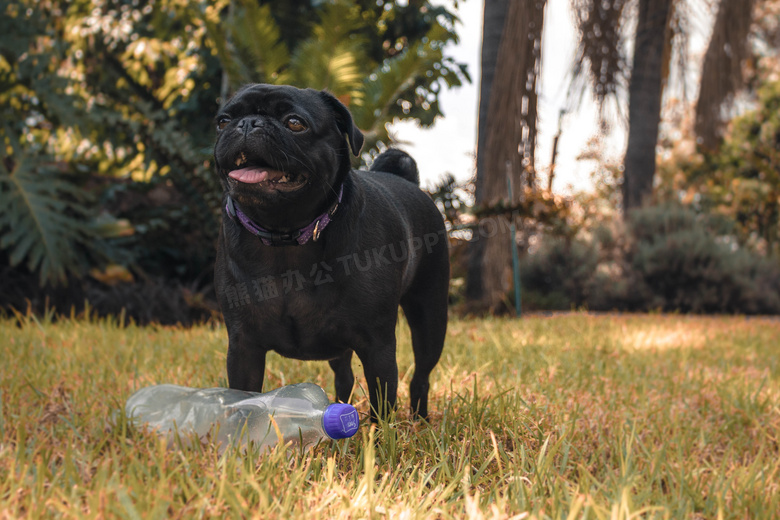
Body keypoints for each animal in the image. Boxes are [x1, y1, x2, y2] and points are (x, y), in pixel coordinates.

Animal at [213, 83, 448, 420]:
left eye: (295, 123)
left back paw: (419, 419)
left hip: (430, 317)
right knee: (344, 376)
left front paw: (380, 434)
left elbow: (383, 401)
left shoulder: (377, 345)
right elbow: (243, 398)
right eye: (223, 121)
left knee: (421, 375)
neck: (285, 236)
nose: (247, 123)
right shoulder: (244, 347)